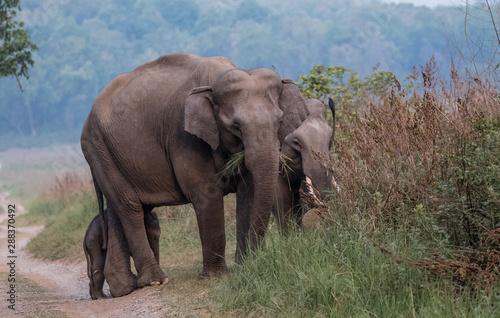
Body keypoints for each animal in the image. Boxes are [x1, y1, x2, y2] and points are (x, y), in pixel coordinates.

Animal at [80, 53, 288, 296]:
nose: (252, 261)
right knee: (129, 208)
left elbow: (248, 192)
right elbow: (207, 195)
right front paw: (216, 277)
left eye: (280, 122)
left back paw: (123, 289)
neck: (218, 77)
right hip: (98, 149)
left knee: (118, 209)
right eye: (236, 126)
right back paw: (155, 282)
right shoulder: (184, 138)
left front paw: (243, 266)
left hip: (109, 154)